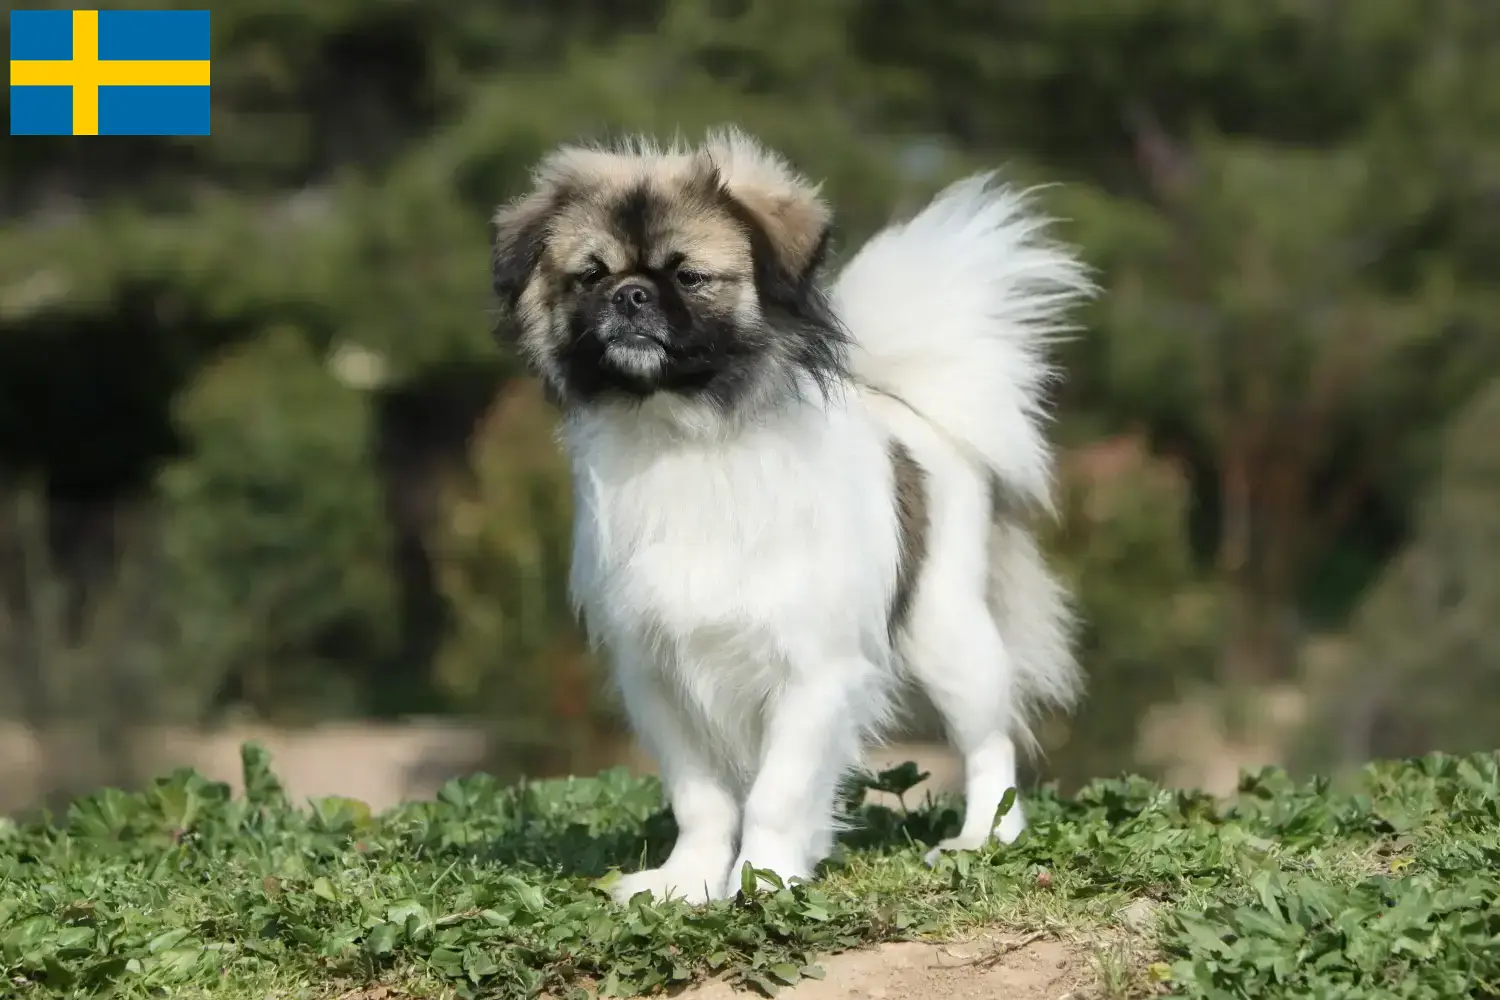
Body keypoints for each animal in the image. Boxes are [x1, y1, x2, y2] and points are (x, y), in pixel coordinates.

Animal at [492, 128, 1092, 905]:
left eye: (690, 277)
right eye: (589, 276)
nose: (629, 295)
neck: (687, 436)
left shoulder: (814, 671)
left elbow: (776, 794)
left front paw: (764, 879)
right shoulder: (656, 671)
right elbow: (702, 798)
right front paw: (686, 882)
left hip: (949, 635)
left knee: (990, 746)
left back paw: (980, 840)